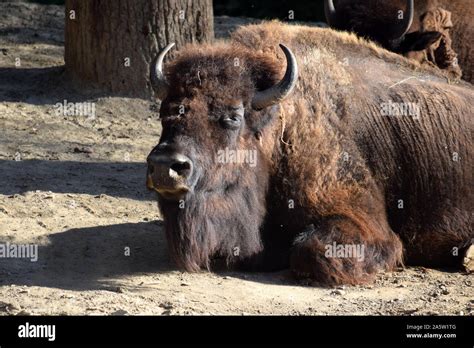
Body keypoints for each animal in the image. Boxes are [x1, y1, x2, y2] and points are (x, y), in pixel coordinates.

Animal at [146, 21, 472, 286]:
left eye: (233, 117)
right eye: (166, 113)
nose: (165, 166)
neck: (280, 124)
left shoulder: (364, 221)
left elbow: (310, 251)